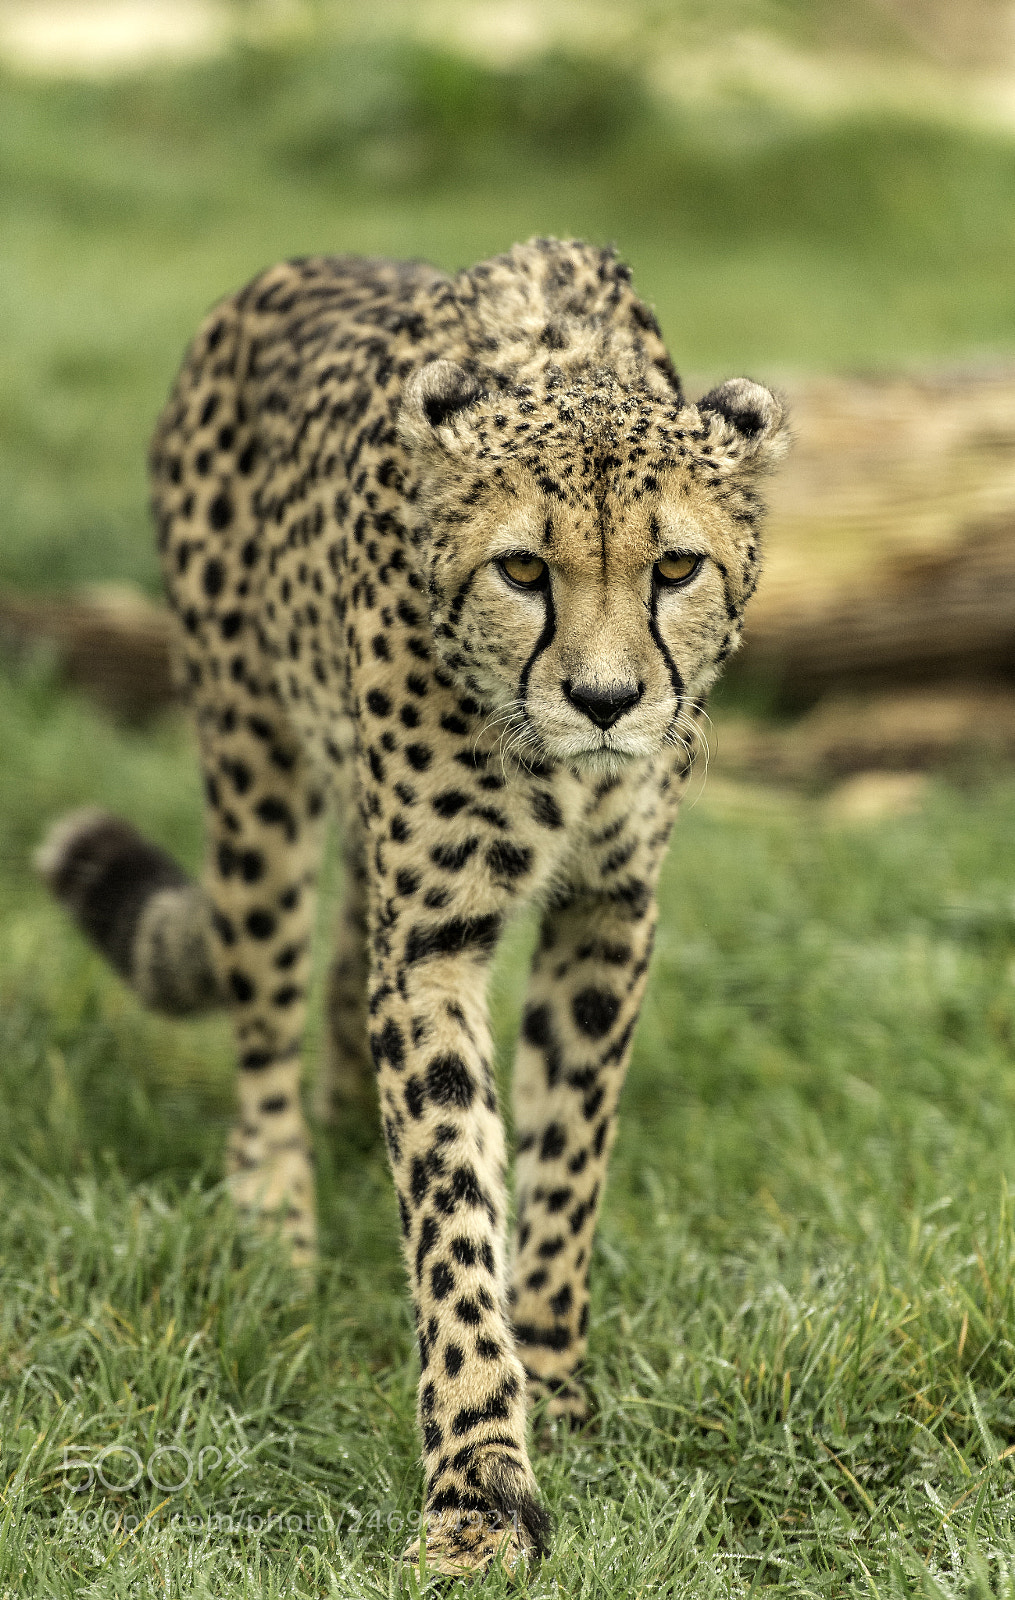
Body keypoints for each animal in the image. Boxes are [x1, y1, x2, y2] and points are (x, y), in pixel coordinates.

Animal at [38, 237, 788, 1576]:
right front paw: (481, 1483)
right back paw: (275, 1218)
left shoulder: (610, 909)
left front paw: (554, 1377)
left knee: (343, 974)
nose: (607, 702)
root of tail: (292, 264)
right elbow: (451, 1200)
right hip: (253, 766)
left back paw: (343, 1129)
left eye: (676, 567)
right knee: (267, 1014)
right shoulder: (433, 939)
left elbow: (566, 1158)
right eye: (523, 569)